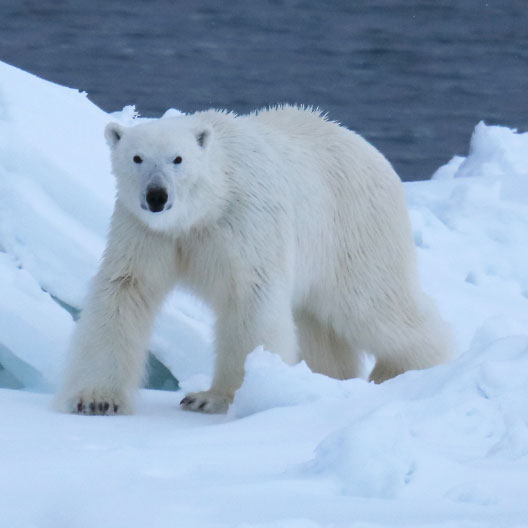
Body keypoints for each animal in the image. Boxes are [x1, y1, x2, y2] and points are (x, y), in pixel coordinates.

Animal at [58, 105, 454, 414]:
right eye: (137, 157)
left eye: (178, 158)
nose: (157, 196)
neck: (206, 207)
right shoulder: (147, 232)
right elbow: (125, 290)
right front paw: (96, 400)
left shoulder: (245, 220)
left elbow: (250, 298)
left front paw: (215, 397)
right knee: (318, 323)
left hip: (354, 228)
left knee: (374, 302)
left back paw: (406, 371)